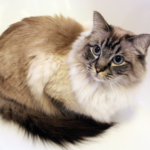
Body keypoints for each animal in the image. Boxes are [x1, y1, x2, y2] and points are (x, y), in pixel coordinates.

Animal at [0, 11, 149, 146]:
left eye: (118, 60)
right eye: (97, 50)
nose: (98, 69)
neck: (104, 87)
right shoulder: (50, 89)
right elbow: (70, 111)